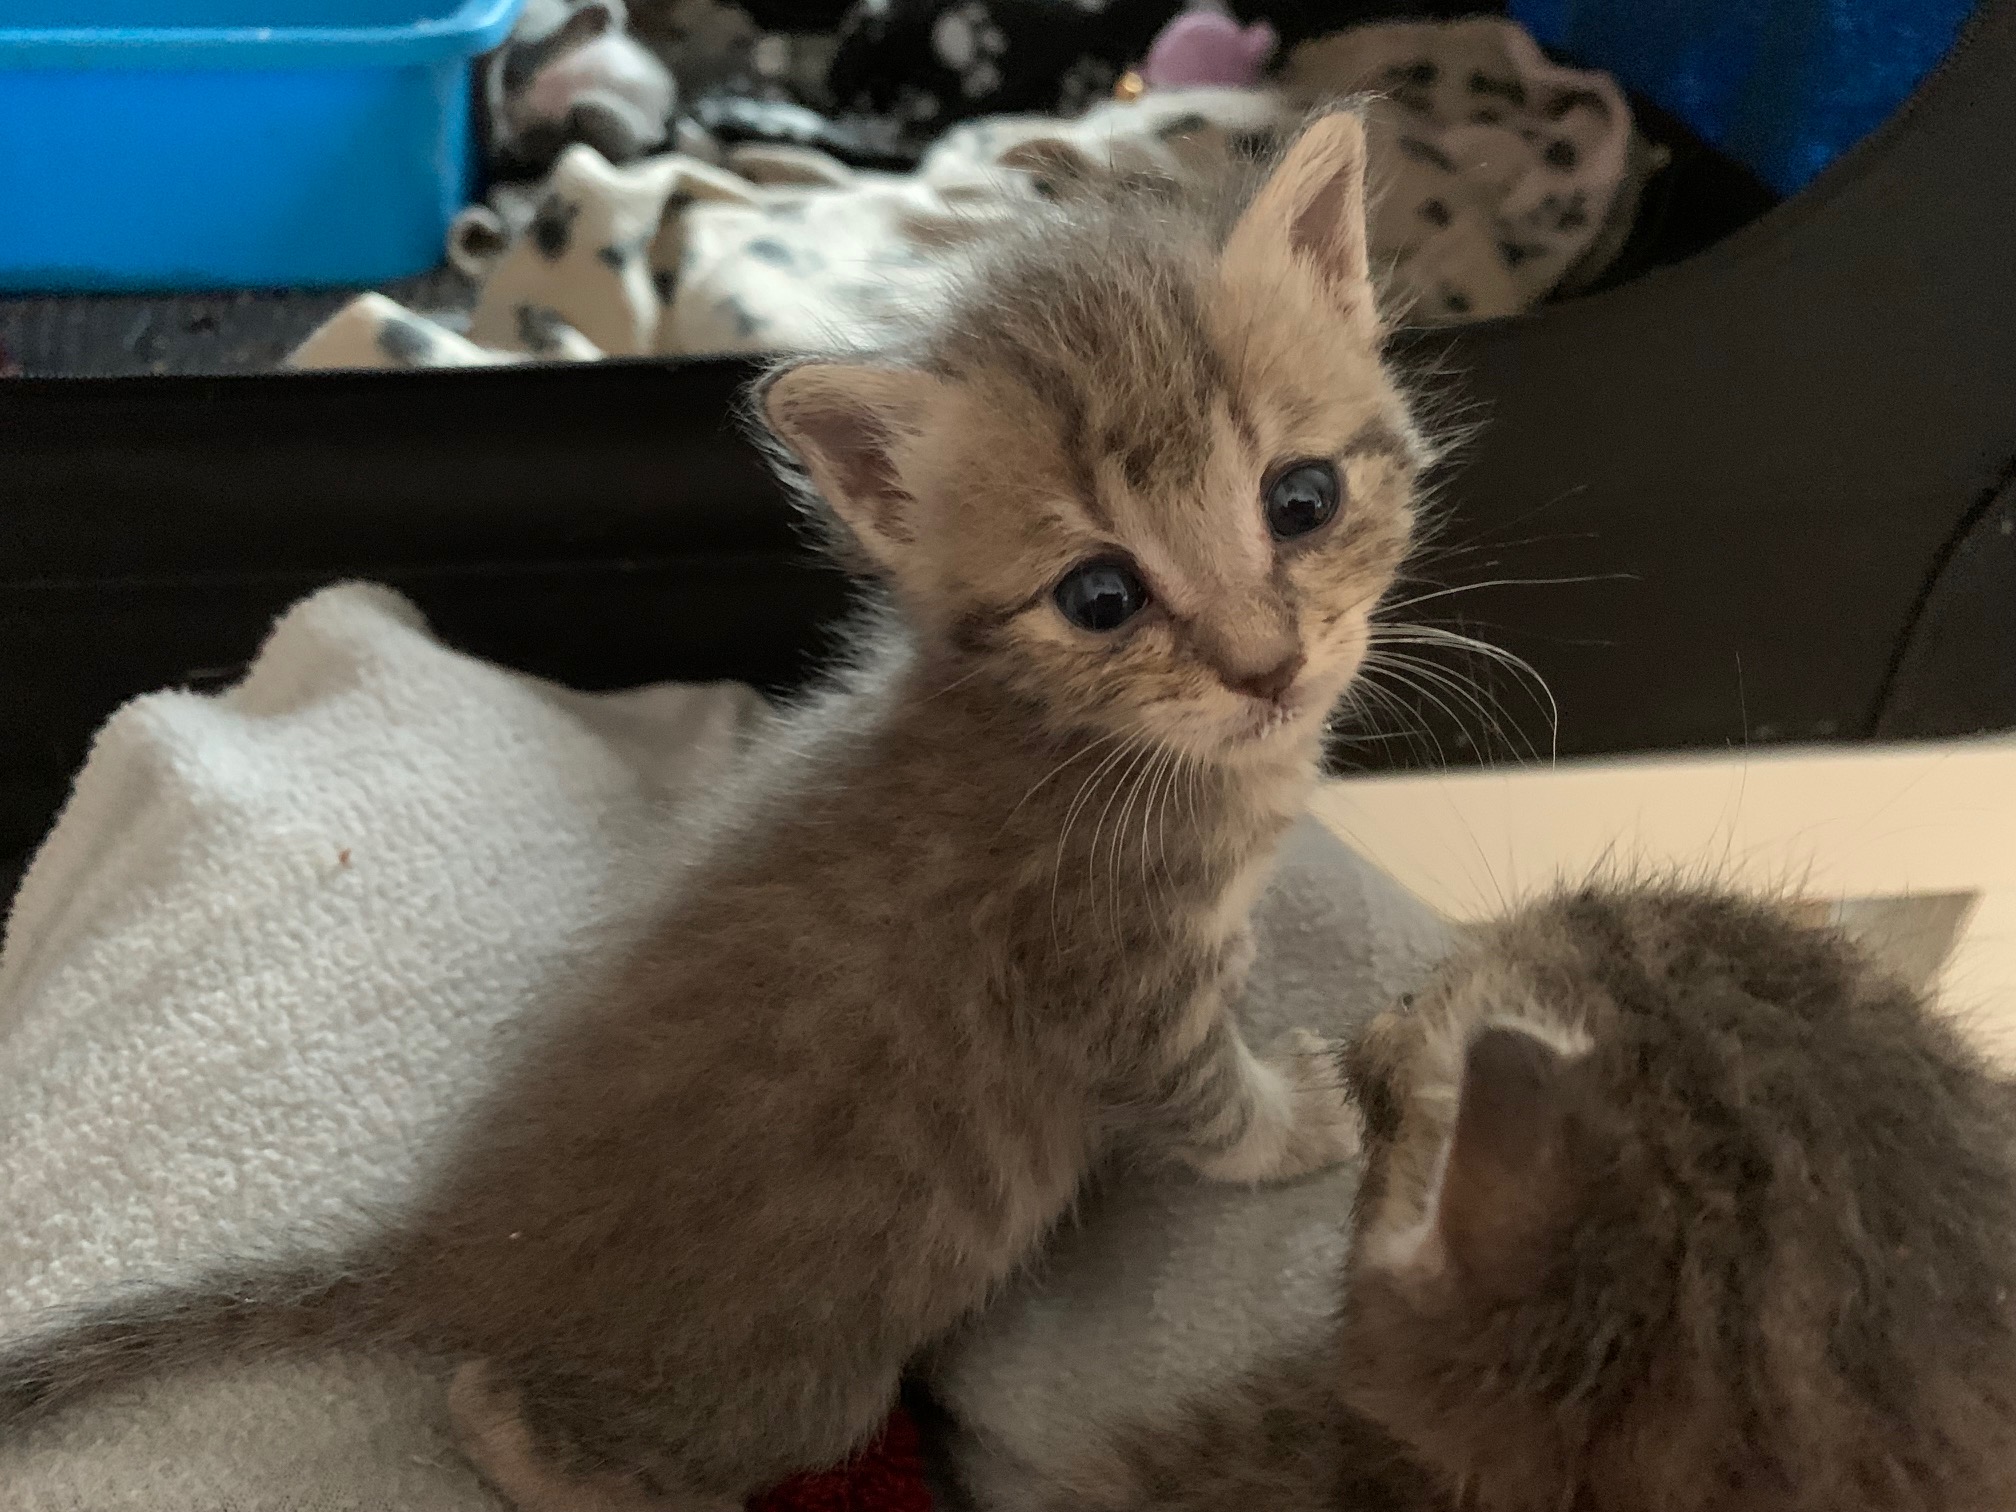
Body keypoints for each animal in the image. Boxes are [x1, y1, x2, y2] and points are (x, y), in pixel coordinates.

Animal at [0, 110, 1428, 1512]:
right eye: (1099, 596)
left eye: (1302, 499)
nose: (1267, 670)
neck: (1085, 733)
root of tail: (462, 1249)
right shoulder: (1114, 991)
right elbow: (1209, 1105)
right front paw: (1305, 1122)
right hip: (804, 1389)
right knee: (495, 1415)